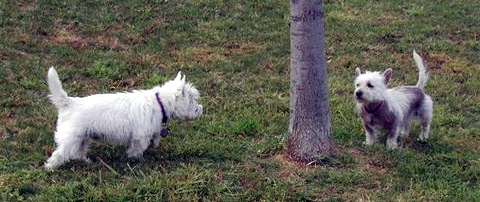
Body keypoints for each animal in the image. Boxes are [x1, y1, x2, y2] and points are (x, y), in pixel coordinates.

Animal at [45, 67, 202, 170]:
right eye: (193, 99)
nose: (201, 109)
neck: (160, 103)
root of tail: (69, 102)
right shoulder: (140, 136)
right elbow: (137, 149)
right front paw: (136, 160)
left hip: (83, 137)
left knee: (78, 151)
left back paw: (87, 161)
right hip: (71, 137)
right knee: (60, 153)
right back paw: (50, 167)